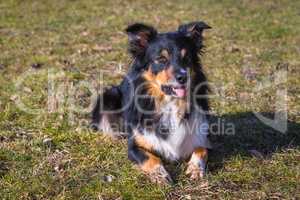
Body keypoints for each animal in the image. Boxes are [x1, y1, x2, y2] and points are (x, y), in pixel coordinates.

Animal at [92, 21, 212, 183]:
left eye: (186, 57)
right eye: (161, 59)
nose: (183, 77)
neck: (170, 104)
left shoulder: (201, 136)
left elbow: (201, 150)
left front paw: (195, 169)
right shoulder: (135, 146)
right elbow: (151, 158)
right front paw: (159, 174)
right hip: (109, 96)